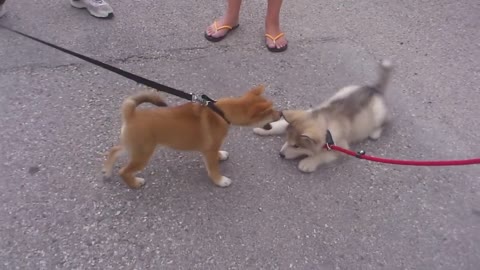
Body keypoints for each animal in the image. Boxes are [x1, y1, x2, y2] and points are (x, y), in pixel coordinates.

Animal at [104, 84, 282, 188]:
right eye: (271, 112)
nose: (281, 113)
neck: (221, 112)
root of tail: (131, 114)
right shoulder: (209, 150)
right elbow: (213, 168)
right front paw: (220, 180)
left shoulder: (212, 148)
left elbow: (217, 154)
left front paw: (221, 155)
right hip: (142, 154)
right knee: (124, 171)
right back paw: (134, 183)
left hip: (134, 147)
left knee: (114, 150)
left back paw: (107, 170)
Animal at [253, 60, 392, 172]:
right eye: (287, 139)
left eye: (296, 146)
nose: (281, 154)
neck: (327, 126)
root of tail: (374, 89)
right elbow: (281, 124)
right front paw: (265, 127)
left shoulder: (341, 147)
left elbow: (323, 155)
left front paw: (308, 162)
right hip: (344, 90)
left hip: (378, 113)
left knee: (385, 121)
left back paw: (375, 132)